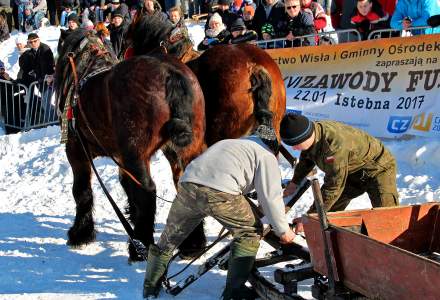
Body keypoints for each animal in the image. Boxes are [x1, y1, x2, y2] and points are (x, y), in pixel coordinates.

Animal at [55, 29, 206, 262]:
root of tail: (170, 73)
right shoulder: (120, 156)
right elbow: (126, 185)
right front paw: (131, 215)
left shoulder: (76, 151)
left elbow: (82, 192)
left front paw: (80, 233)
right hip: (183, 149)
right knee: (187, 186)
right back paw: (193, 244)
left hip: (136, 153)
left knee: (147, 192)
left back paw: (139, 247)